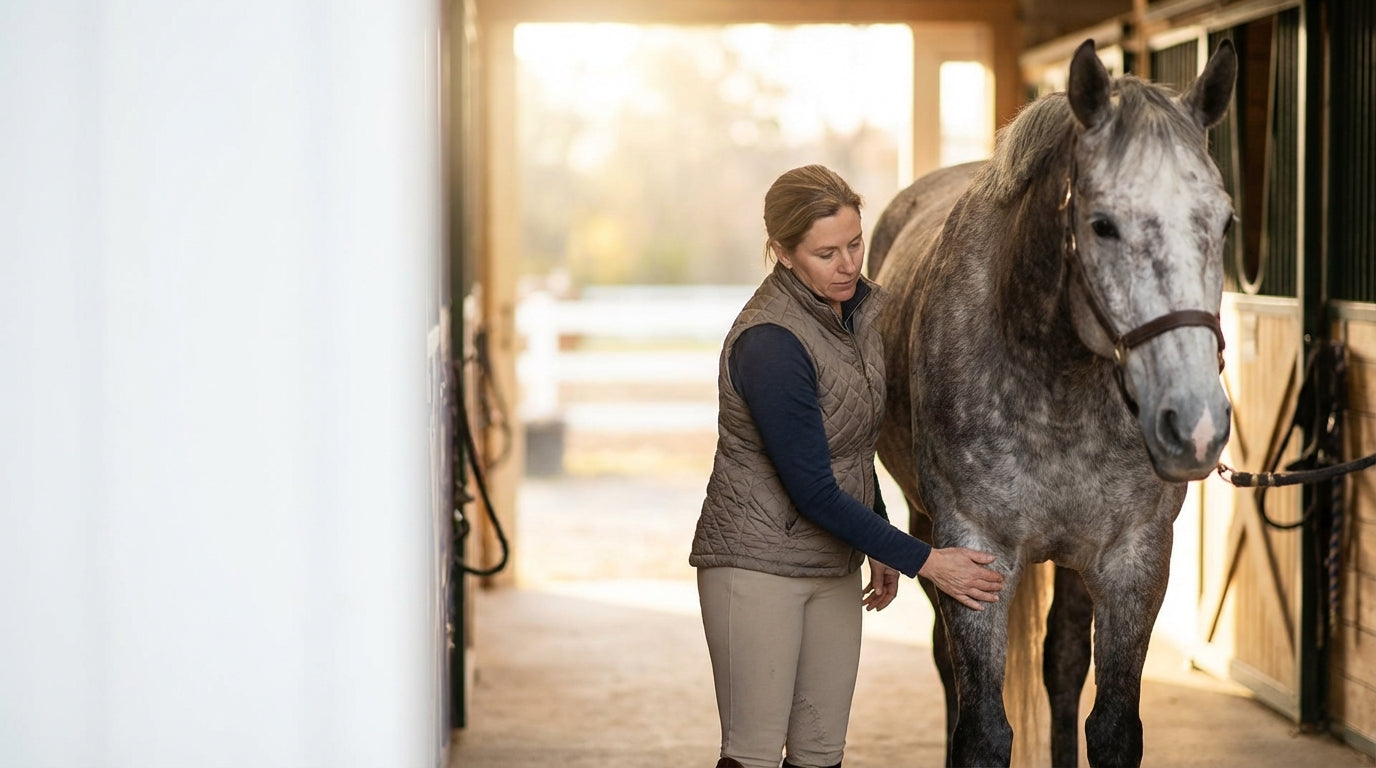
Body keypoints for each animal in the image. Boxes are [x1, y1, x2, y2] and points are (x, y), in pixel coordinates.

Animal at [868, 39, 1238, 767]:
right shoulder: (974, 549)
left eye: (1225, 222)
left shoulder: (1134, 561)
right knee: (948, 667)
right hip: (926, 529)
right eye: (1103, 225)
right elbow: (983, 728)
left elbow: (1111, 723)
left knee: (1062, 664)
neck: (1057, 384)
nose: (1196, 426)